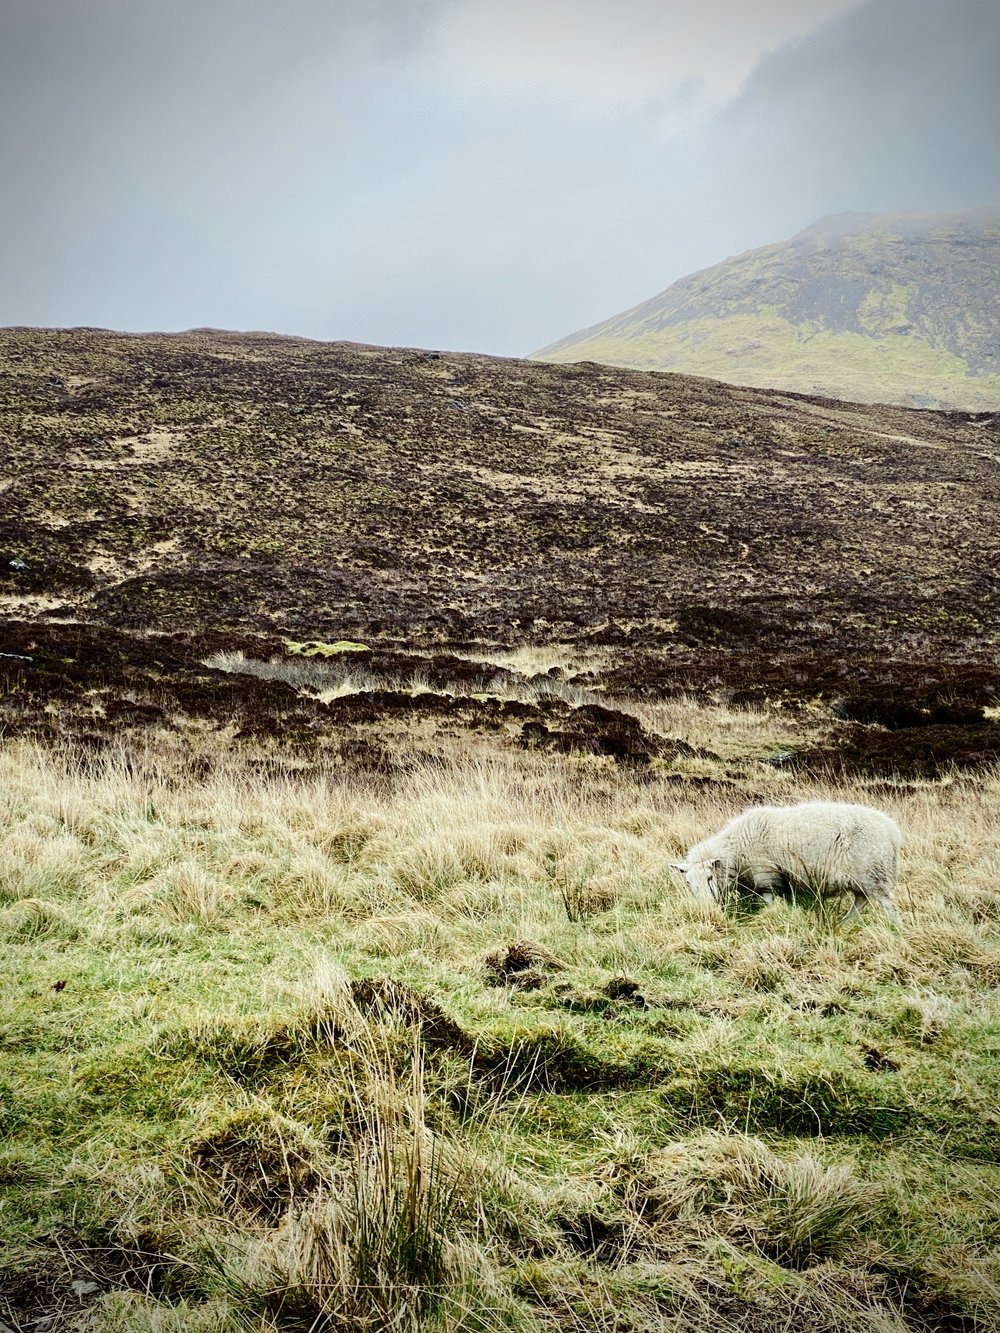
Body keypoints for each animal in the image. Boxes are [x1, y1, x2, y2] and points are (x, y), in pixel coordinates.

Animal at [677, 799, 906, 927]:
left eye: (709, 877)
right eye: (687, 883)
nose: (704, 907)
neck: (735, 849)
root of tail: (893, 830)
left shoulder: (766, 876)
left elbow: (768, 902)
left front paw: (770, 918)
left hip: (875, 873)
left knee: (887, 905)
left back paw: (897, 929)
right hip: (864, 878)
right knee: (861, 901)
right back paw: (844, 924)